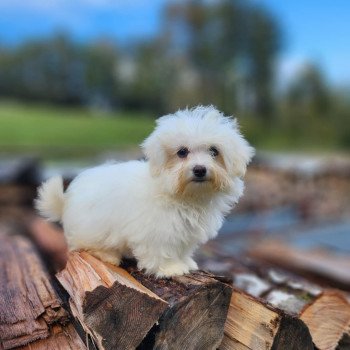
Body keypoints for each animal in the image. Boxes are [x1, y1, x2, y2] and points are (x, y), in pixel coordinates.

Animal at [35, 105, 254, 278]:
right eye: (182, 152)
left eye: (214, 151)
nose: (199, 169)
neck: (184, 195)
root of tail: (66, 201)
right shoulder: (158, 231)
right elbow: (161, 250)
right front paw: (170, 268)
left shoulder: (185, 232)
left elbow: (182, 249)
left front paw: (186, 262)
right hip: (91, 228)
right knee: (83, 245)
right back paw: (109, 255)